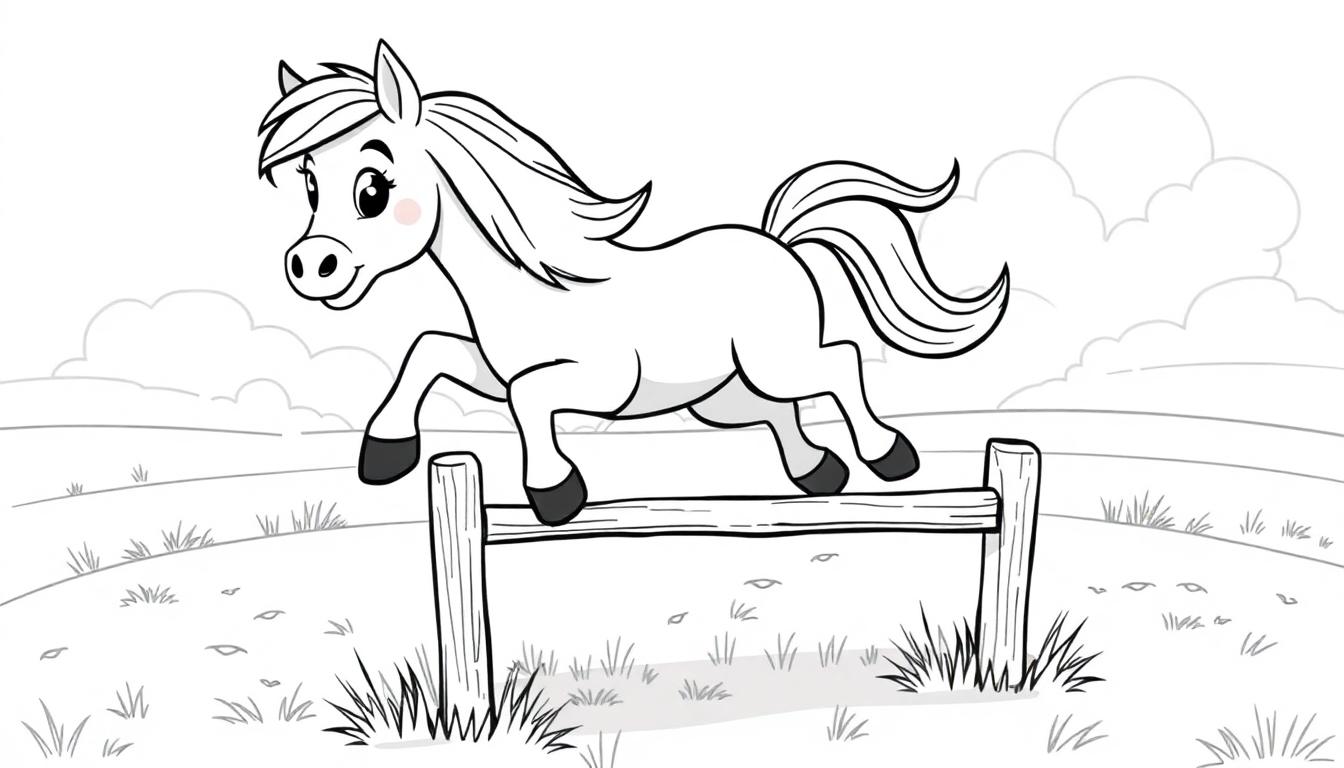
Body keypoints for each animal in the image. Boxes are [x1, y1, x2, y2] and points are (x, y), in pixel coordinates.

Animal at [257, 41, 1009, 526]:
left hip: (777, 360)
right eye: (309, 183)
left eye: (374, 187)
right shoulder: (487, 368)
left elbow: (530, 399)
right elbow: (428, 352)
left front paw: (556, 491)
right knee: (782, 414)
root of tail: (780, 244)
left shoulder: (596, 382)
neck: (531, 285)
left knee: (841, 364)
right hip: (724, 396)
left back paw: (889, 456)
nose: (309, 267)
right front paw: (385, 453)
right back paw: (818, 472)